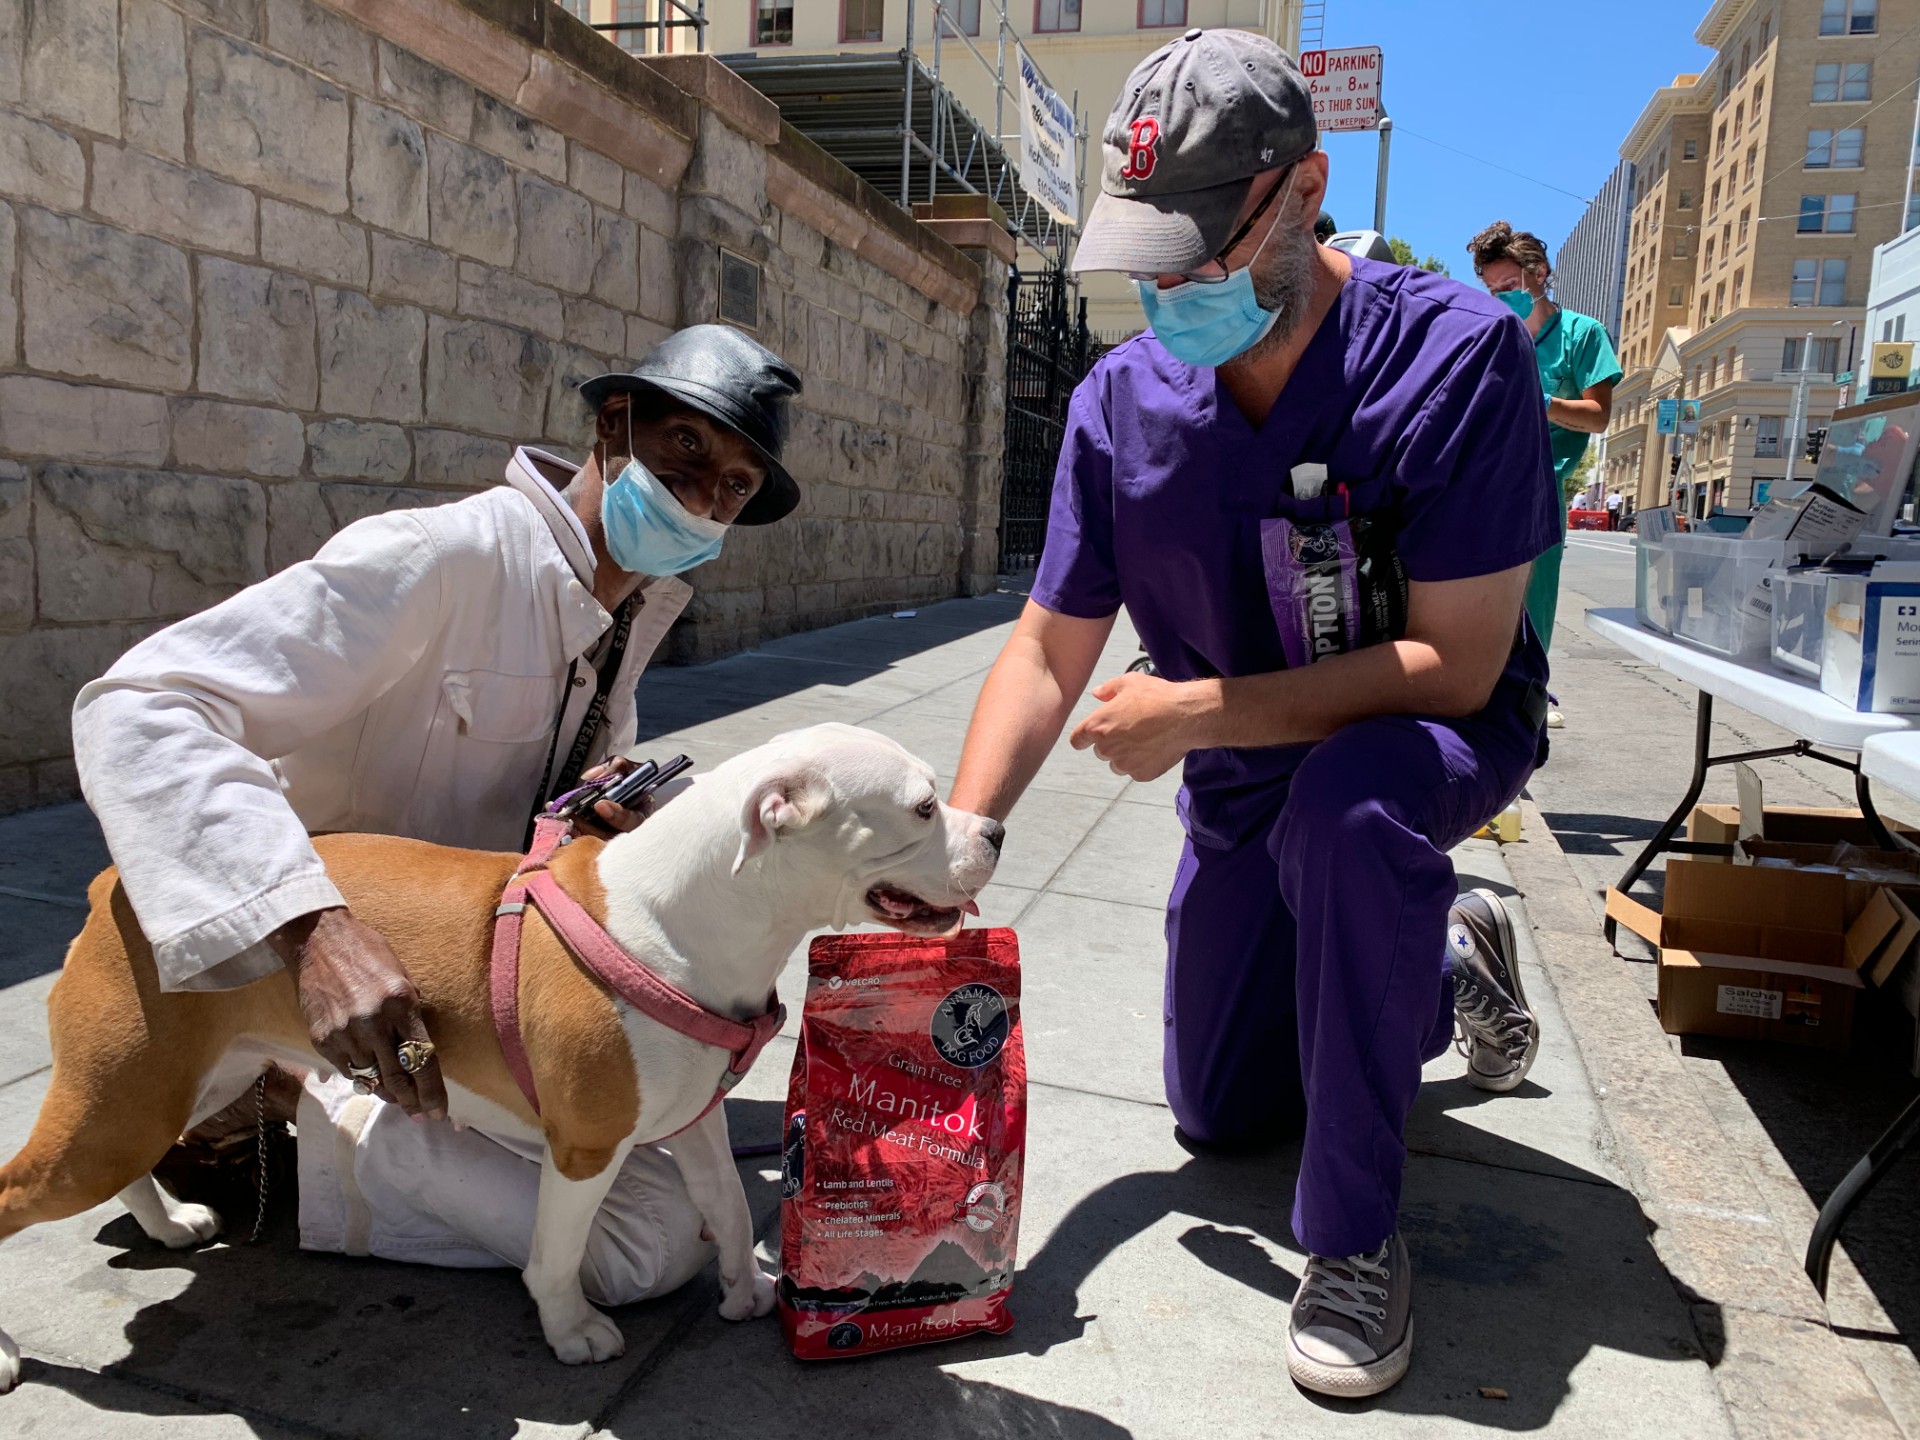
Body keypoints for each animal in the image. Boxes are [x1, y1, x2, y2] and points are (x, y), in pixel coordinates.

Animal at [0, 725, 1006, 1390]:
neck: (686, 920)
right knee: (16, 1194)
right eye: (923, 808)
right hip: (122, 1103)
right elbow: (555, 1254)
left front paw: (746, 1293)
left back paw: (170, 1221)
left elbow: (722, 1199)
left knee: (130, 1165)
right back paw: (11, 1352)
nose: (994, 832)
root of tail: (113, 887)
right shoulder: (585, 1147)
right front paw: (573, 1333)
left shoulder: (693, 1115)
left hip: (180, 1087)